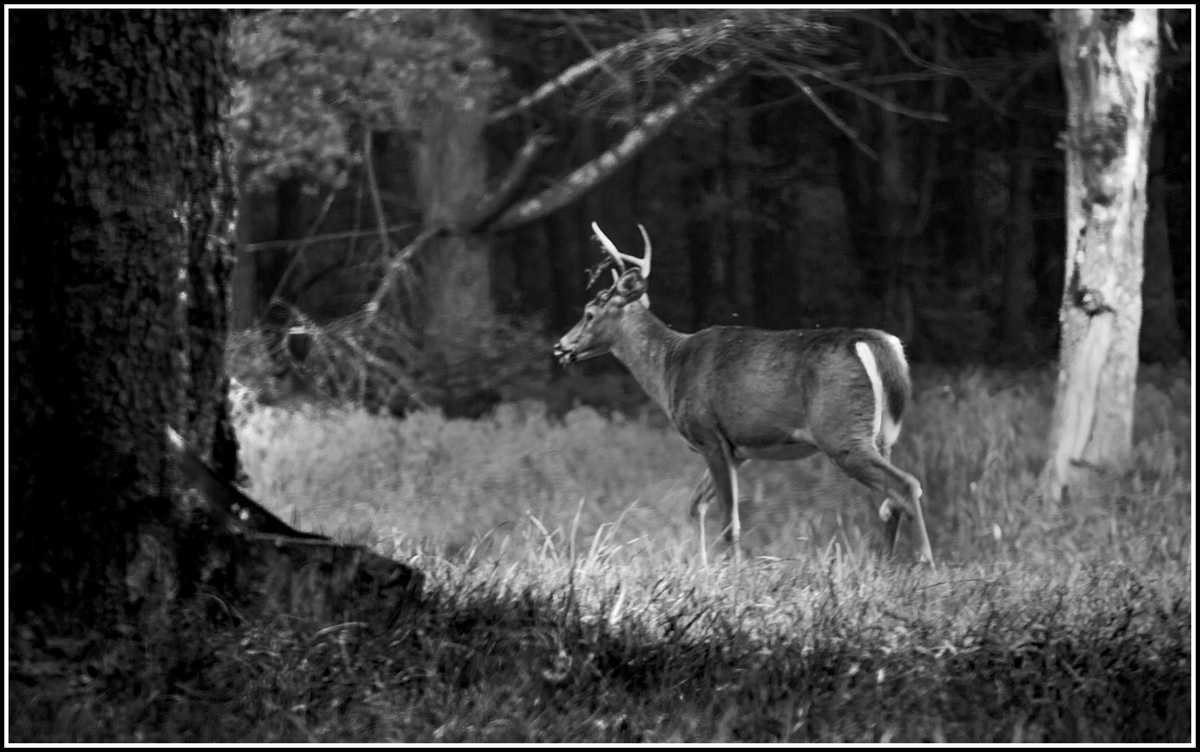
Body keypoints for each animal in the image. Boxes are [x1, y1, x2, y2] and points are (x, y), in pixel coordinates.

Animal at [553, 222, 934, 569]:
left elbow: (729, 522)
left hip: (840, 431)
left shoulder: (708, 435)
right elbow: (696, 504)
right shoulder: (737, 450)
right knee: (890, 501)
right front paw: (705, 567)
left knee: (905, 485)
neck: (669, 367)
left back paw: (924, 562)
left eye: (589, 313)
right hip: (881, 435)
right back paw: (885, 564)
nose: (560, 346)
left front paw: (731, 572)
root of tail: (878, 342)